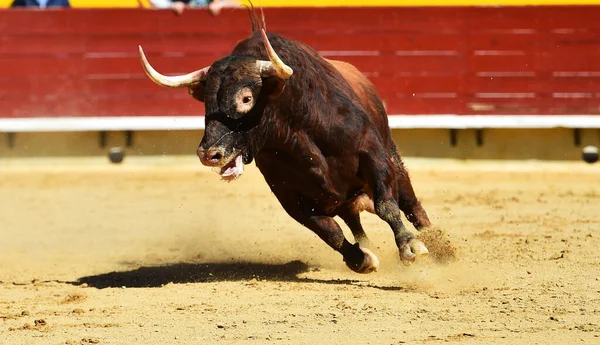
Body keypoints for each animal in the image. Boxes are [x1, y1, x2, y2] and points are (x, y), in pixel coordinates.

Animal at [138, 10, 432, 272]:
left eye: (246, 98)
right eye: (206, 103)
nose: (209, 154)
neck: (299, 137)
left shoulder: (373, 154)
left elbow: (386, 205)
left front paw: (411, 246)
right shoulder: (289, 196)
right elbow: (330, 232)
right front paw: (362, 260)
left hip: (392, 157)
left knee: (411, 205)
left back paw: (436, 243)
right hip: (345, 198)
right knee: (353, 221)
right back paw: (369, 246)